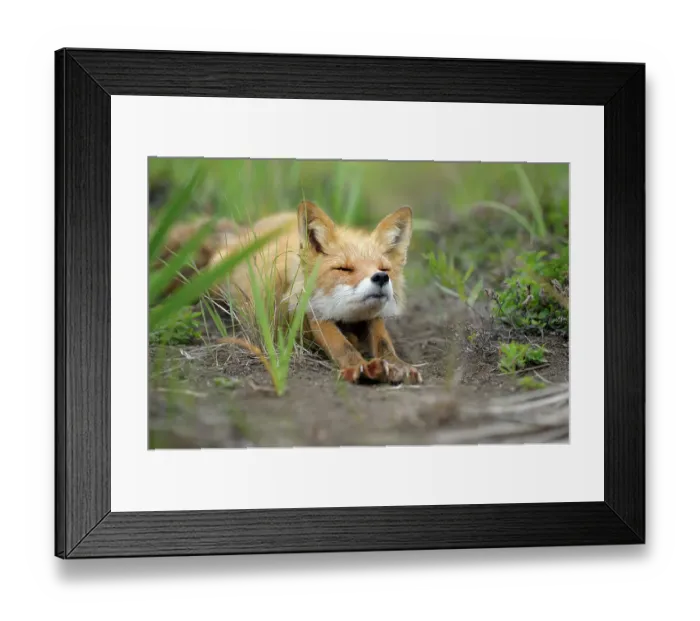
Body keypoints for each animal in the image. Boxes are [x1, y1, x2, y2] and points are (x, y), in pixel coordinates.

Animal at [157, 200, 423, 385]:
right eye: (344, 269)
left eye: (384, 269)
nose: (381, 278)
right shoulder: (304, 311)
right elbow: (337, 341)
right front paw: (357, 366)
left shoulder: (372, 317)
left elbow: (383, 341)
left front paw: (396, 365)